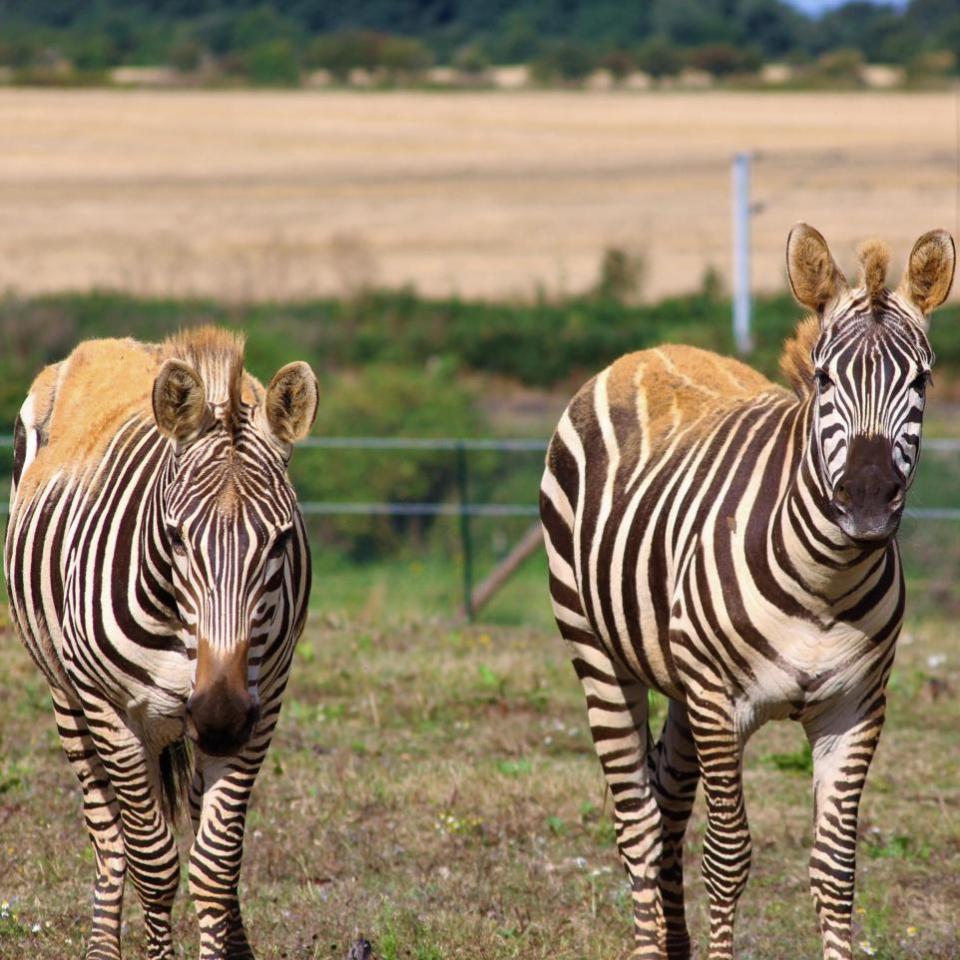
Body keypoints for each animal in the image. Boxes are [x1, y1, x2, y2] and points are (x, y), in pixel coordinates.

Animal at [4, 326, 318, 956]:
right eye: (175, 537)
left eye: (280, 541)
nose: (219, 715)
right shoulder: (110, 709)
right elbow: (154, 863)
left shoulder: (262, 703)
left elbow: (215, 866)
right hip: (68, 698)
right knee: (109, 840)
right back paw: (103, 946)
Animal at [540, 227, 952, 960]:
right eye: (824, 377)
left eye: (921, 380)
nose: (867, 502)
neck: (825, 585)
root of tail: (647, 351)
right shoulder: (719, 701)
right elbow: (728, 858)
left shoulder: (856, 707)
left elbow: (835, 867)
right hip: (599, 654)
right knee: (637, 823)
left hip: (679, 682)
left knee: (667, 806)